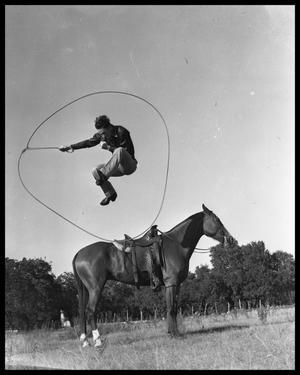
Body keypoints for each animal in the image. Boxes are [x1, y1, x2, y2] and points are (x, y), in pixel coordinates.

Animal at [72, 204, 237, 348]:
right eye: (217, 220)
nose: (231, 240)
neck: (177, 245)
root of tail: (79, 253)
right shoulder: (171, 284)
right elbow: (171, 308)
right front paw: (175, 334)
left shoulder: (174, 286)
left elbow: (172, 307)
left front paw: (171, 332)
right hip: (96, 288)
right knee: (91, 311)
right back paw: (98, 341)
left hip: (87, 289)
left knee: (82, 312)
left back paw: (85, 342)